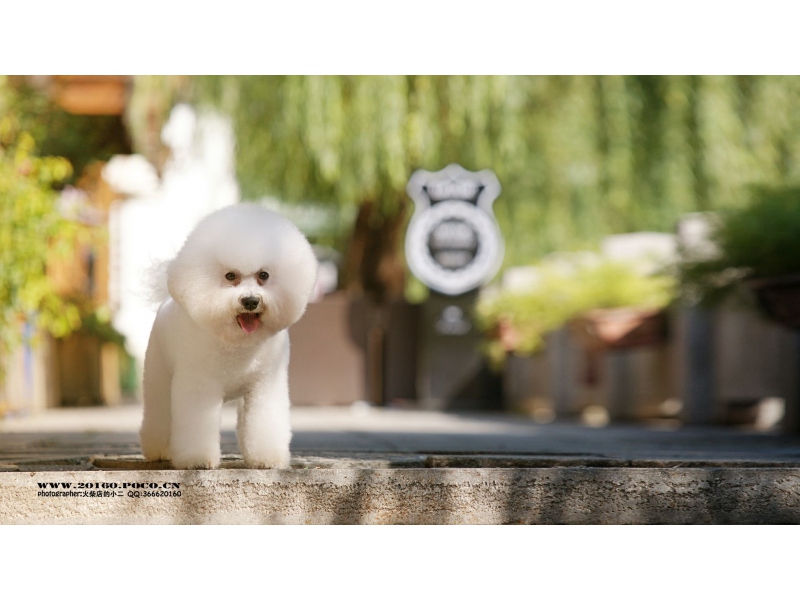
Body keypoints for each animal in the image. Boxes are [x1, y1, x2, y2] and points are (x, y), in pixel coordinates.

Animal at [139, 203, 318, 468]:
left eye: (263, 275)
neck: (238, 345)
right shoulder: (199, 384)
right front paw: (198, 460)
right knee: (158, 411)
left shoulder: (265, 383)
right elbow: (196, 424)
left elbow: (264, 423)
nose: (251, 301)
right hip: (158, 373)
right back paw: (160, 450)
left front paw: (267, 458)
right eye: (230, 276)